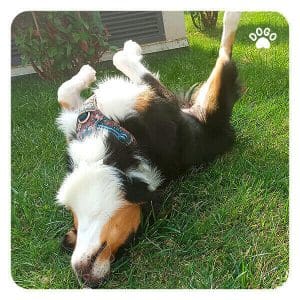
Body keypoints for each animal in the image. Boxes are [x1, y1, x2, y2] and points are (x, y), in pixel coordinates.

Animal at [54, 12, 241, 288]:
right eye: (132, 238)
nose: (89, 282)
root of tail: (227, 132)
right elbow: (114, 67)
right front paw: (118, 57)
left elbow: (69, 88)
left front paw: (96, 68)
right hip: (210, 100)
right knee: (224, 55)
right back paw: (232, 16)